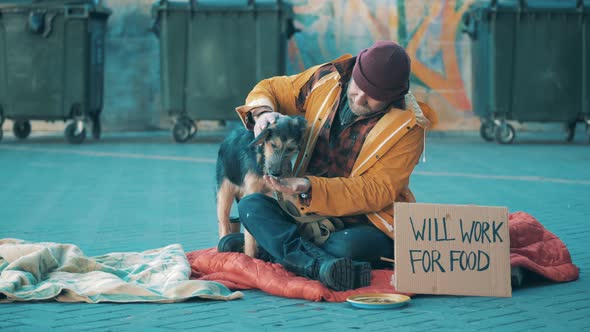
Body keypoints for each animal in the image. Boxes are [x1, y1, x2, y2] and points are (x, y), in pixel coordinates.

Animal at [217, 115, 310, 258]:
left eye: (290, 149)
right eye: (273, 145)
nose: (275, 173)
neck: (262, 158)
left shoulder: (282, 188)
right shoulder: (251, 190)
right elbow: (250, 235)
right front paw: (250, 256)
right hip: (224, 190)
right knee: (223, 220)